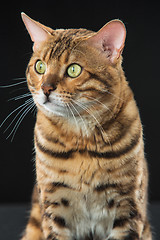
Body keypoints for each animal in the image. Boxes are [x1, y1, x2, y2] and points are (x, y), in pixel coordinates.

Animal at [20, 13, 151, 240]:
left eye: (74, 70)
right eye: (40, 66)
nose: (45, 88)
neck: (81, 138)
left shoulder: (128, 206)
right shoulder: (54, 205)